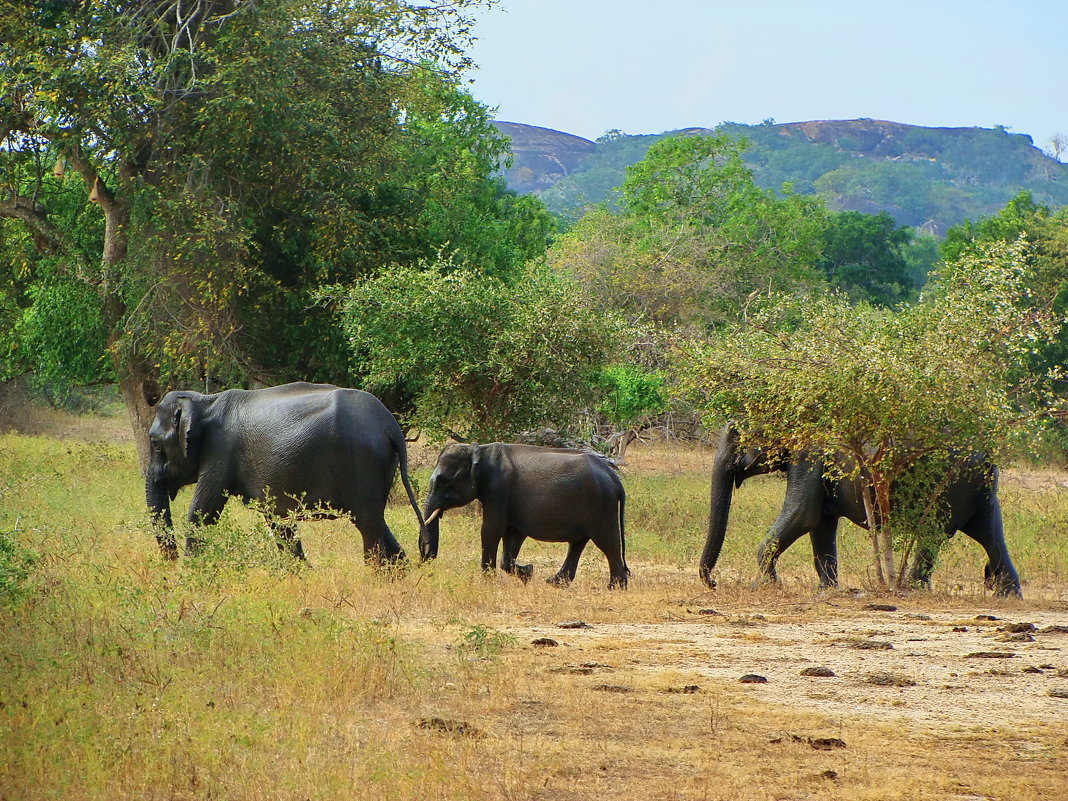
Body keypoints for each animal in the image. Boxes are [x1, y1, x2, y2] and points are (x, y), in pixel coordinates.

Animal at [146, 382, 420, 563]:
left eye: (156, 444)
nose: (171, 563)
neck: (205, 401)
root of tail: (389, 424)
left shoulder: (220, 450)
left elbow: (202, 512)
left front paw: (192, 572)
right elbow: (277, 519)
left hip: (360, 461)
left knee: (367, 522)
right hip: (379, 466)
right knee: (376, 520)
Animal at [416, 446, 627, 589]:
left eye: (444, 481)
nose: (426, 559)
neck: (479, 449)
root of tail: (615, 479)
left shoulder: (497, 487)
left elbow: (491, 529)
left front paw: (488, 582)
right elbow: (512, 534)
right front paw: (528, 573)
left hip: (602, 505)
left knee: (608, 543)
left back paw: (615, 587)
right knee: (578, 543)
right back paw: (554, 582)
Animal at [696, 427, 1021, 598]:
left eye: (735, 434)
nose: (714, 583)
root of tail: (989, 456)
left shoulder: (810, 455)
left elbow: (803, 515)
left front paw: (764, 586)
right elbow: (820, 524)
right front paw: (826, 591)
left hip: (952, 484)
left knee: (934, 532)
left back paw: (912, 590)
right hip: (976, 489)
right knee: (989, 533)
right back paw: (1007, 594)